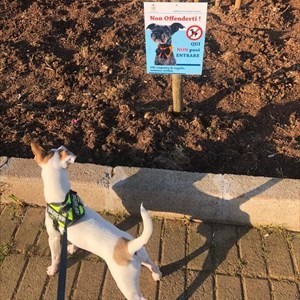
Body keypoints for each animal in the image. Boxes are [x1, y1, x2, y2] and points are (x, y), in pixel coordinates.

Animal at [30, 142, 162, 298]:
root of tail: (129, 246)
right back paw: (156, 275)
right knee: (152, 264)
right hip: (142, 256)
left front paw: (52, 270)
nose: (61, 146)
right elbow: (74, 242)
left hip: (126, 282)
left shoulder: (54, 236)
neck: (62, 200)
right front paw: (73, 248)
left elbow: (55, 257)